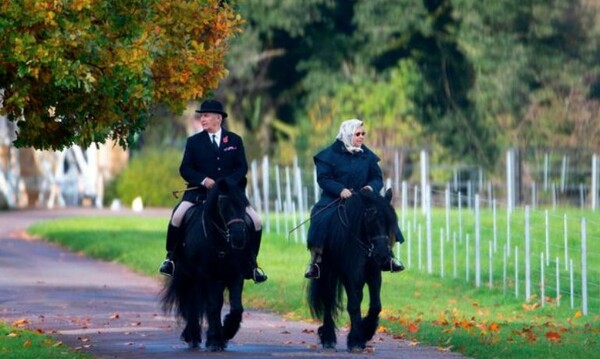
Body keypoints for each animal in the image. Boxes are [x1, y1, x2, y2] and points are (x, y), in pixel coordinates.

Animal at [161, 180, 250, 352]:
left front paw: (226, 332)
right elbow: (213, 305)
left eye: (244, 204)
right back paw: (193, 336)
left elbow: (236, 308)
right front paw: (215, 340)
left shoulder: (235, 274)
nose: (239, 238)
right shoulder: (208, 275)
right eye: (223, 205)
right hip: (188, 276)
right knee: (193, 302)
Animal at [308, 190, 400, 352]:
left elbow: (375, 305)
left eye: (390, 221)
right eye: (370, 218)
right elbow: (353, 305)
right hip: (328, 273)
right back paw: (328, 338)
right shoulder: (349, 275)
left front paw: (367, 332)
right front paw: (356, 340)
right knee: (328, 300)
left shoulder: (373, 274)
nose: (382, 255)